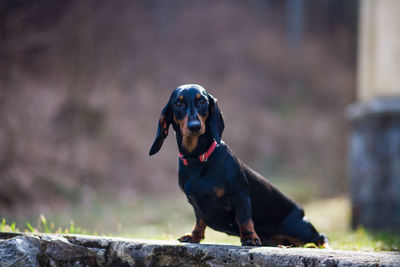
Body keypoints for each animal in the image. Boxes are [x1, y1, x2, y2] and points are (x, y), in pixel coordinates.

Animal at [149, 85, 328, 248]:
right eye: (178, 104)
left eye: (202, 101)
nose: (194, 126)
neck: (199, 161)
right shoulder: (195, 203)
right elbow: (200, 220)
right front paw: (194, 236)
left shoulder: (240, 194)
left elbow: (244, 218)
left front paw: (249, 238)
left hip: (301, 231)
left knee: (320, 239)